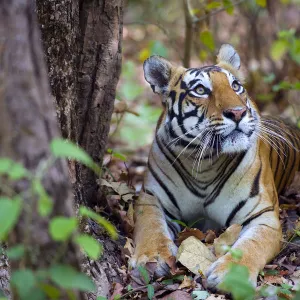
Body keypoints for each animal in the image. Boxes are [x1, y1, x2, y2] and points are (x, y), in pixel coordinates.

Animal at [129, 44, 300, 288]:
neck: (205, 164)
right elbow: (151, 226)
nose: (237, 112)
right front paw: (152, 258)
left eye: (236, 86)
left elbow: (251, 246)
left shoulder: (263, 215)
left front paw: (232, 276)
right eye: (200, 90)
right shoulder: (151, 198)